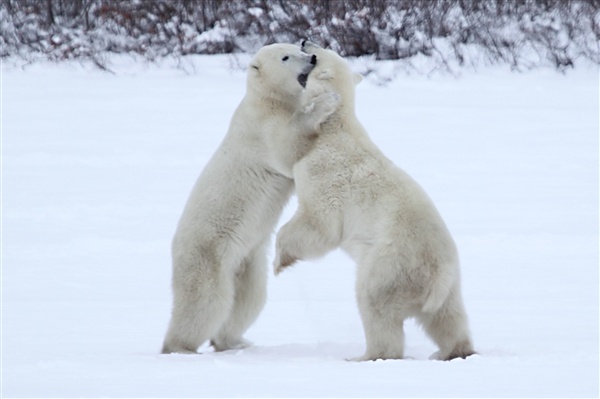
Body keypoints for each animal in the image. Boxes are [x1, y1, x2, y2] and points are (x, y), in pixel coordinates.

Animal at [162, 43, 340, 354]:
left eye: (296, 45)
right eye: (285, 56)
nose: (312, 57)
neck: (266, 101)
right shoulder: (261, 133)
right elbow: (288, 148)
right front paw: (326, 102)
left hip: (247, 260)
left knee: (249, 299)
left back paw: (236, 341)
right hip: (207, 254)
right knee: (205, 302)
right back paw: (179, 347)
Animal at [274, 42, 476, 364]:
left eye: (318, 54)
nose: (306, 41)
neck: (336, 126)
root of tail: (437, 274)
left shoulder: (324, 172)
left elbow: (320, 224)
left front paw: (279, 260)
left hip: (389, 263)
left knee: (374, 304)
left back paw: (366, 356)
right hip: (450, 283)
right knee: (448, 317)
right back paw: (454, 351)